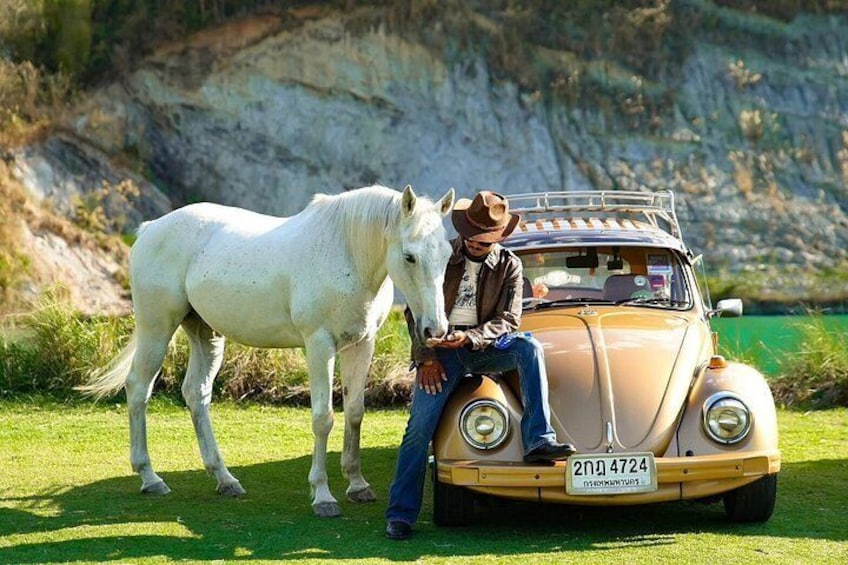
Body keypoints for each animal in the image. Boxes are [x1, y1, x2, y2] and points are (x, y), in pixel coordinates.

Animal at [80, 184, 455, 517]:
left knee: (196, 394)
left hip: (205, 335)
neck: (344, 250)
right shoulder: (319, 346)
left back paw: (225, 479)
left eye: (447, 254)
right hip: (157, 328)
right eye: (409, 256)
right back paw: (150, 477)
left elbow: (354, 413)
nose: (435, 330)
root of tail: (150, 229)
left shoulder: (362, 344)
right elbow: (323, 418)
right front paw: (322, 496)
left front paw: (358, 484)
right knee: (138, 389)